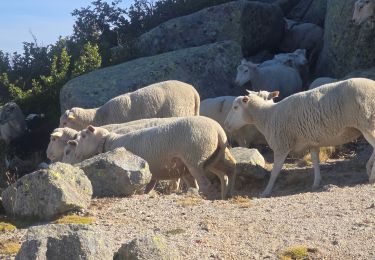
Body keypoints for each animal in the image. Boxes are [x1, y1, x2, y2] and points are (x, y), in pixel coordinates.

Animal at [70, 117, 238, 200]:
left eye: (83, 136)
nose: (76, 154)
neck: (109, 141)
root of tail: (218, 130)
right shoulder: (151, 171)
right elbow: (148, 187)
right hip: (214, 158)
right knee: (227, 173)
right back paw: (225, 195)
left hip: (196, 159)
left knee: (206, 183)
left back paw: (206, 196)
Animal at [223, 78, 375, 196]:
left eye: (235, 107)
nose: (225, 124)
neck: (268, 116)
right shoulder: (313, 142)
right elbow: (315, 161)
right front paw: (316, 182)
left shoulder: (281, 145)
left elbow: (275, 171)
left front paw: (266, 191)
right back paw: (369, 168)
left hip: (367, 123)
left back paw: (371, 174)